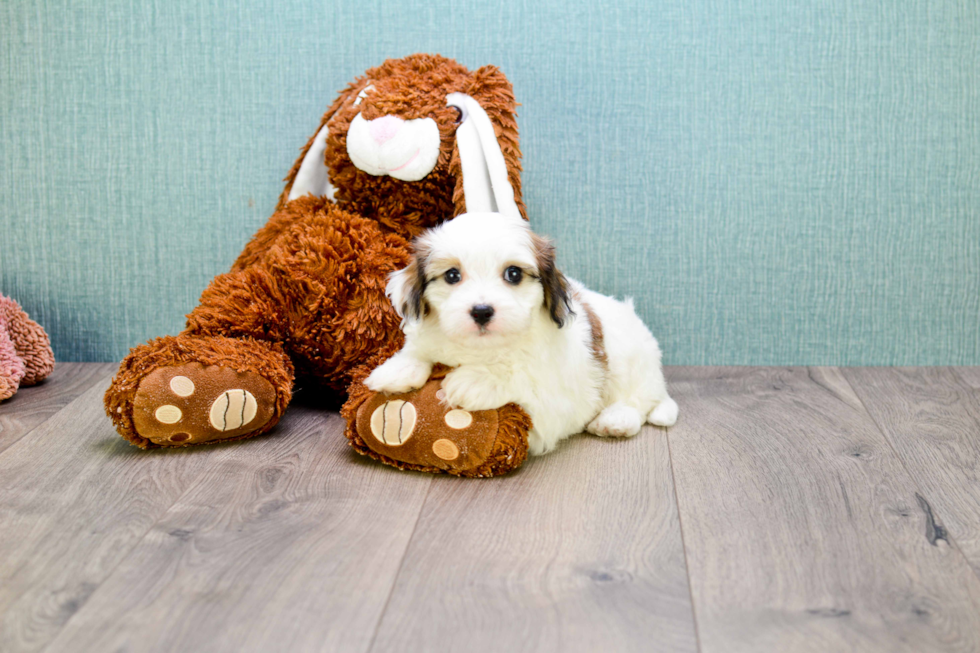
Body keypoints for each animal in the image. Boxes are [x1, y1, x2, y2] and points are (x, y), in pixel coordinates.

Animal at [364, 213, 676, 454]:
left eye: (513, 274)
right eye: (452, 275)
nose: (481, 311)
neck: (481, 350)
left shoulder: (554, 404)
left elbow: (522, 378)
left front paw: (475, 381)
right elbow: (418, 350)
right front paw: (396, 370)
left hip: (630, 359)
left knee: (637, 400)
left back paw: (615, 419)